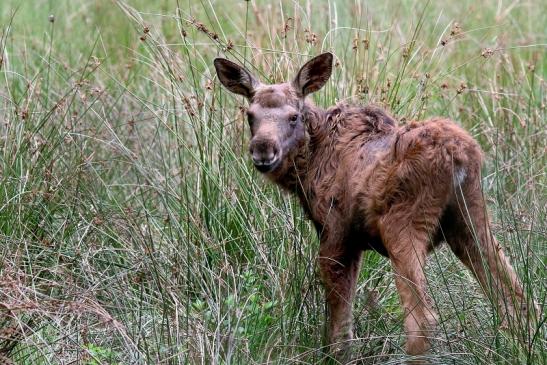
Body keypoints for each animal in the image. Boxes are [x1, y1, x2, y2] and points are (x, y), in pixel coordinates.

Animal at [214, 53, 536, 358]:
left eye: (294, 116)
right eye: (250, 116)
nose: (262, 150)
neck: (308, 169)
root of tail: (457, 156)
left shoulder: (336, 234)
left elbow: (340, 326)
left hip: (403, 225)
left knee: (422, 320)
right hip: (470, 220)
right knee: (518, 297)